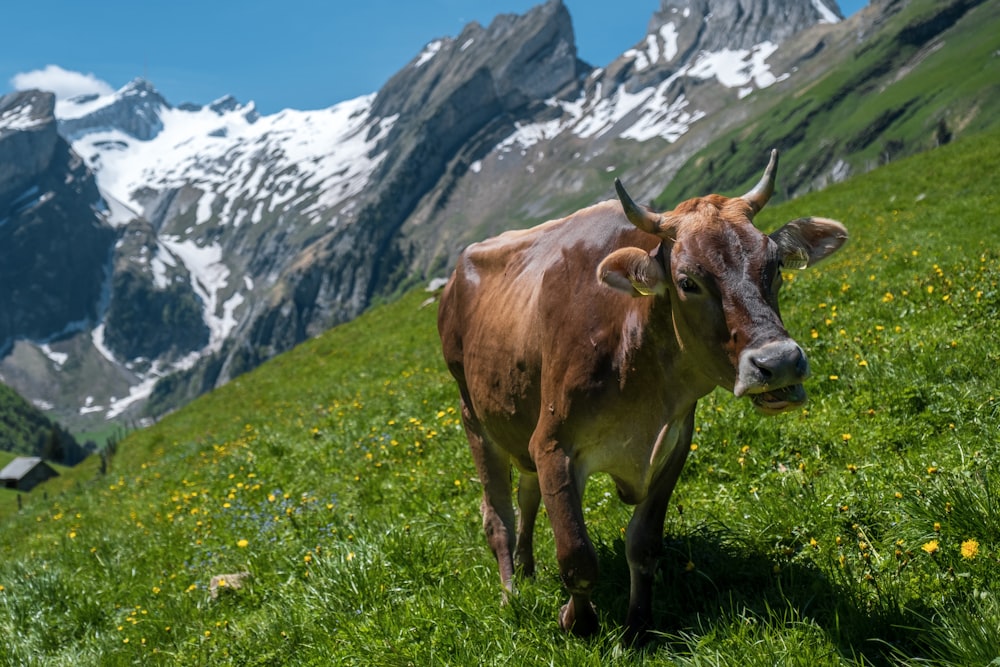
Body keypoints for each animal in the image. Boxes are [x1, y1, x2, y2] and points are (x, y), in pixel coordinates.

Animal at [438, 150, 844, 636]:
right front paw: (577, 622)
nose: (779, 362)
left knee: (526, 496)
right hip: (474, 418)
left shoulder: (674, 443)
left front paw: (637, 627)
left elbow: (644, 544)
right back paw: (510, 592)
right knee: (497, 515)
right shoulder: (552, 445)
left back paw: (528, 567)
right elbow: (577, 556)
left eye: (776, 265)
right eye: (687, 281)